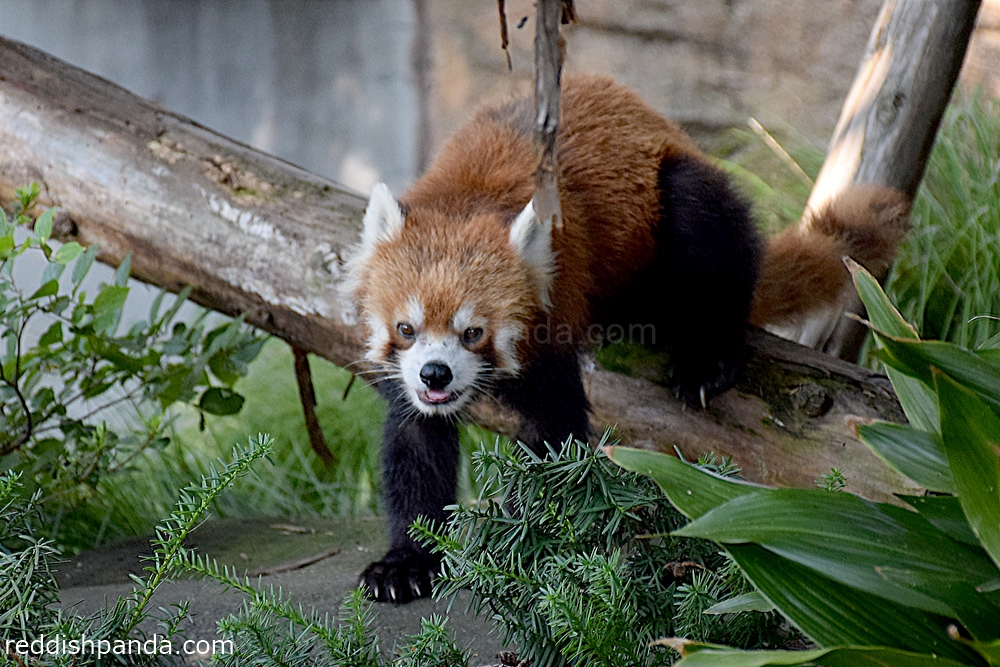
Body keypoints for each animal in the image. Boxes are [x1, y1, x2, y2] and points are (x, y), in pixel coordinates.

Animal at [342, 74, 908, 604]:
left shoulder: (557, 312)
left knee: (706, 233)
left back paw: (706, 358)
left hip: (674, 203)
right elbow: (415, 446)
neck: (466, 200)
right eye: (406, 329)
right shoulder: (410, 386)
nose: (435, 374)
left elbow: (554, 434)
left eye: (473, 332)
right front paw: (407, 561)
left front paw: (525, 528)